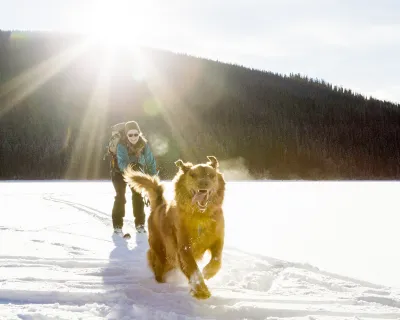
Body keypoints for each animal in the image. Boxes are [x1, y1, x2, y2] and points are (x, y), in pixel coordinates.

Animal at [123, 156, 225, 298]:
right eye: (193, 175)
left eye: (212, 175)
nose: (203, 184)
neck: (200, 215)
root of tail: (159, 205)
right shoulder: (184, 248)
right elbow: (193, 269)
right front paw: (201, 290)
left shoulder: (218, 240)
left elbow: (217, 260)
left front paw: (208, 272)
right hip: (162, 253)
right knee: (158, 269)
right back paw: (161, 285)